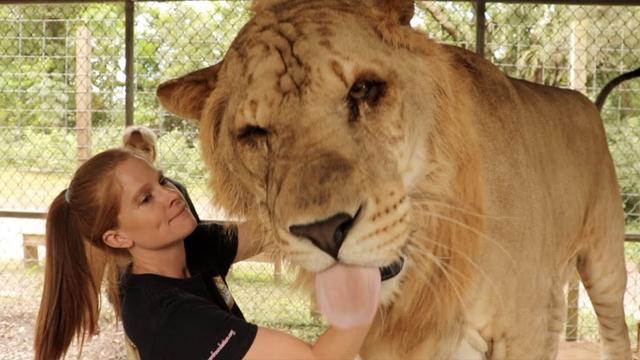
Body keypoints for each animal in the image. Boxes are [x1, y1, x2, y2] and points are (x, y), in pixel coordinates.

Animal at [155, 0, 632, 358]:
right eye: (254, 133)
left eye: (363, 90)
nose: (324, 231)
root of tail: (585, 100)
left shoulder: (525, 327)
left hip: (605, 265)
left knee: (615, 331)